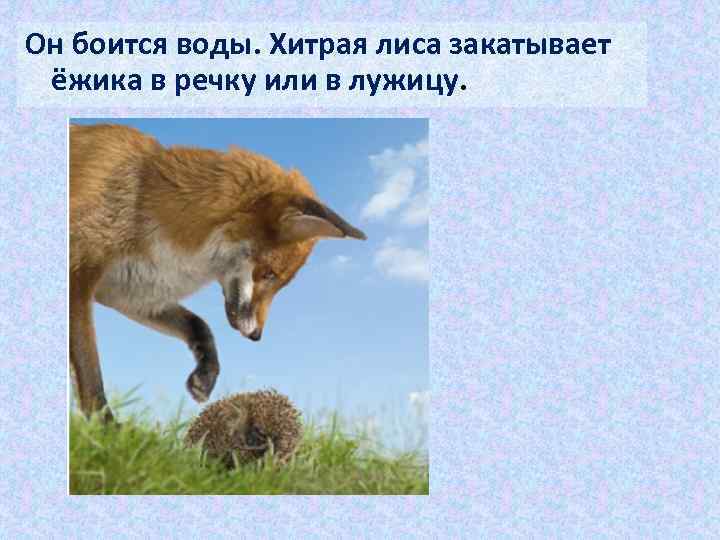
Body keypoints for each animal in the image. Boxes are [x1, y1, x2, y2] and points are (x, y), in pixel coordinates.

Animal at [70, 123, 366, 421]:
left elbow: (200, 325)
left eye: (277, 281)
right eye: (269, 274)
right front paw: (107, 428)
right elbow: (90, 374)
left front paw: (206, 376)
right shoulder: (79, 274)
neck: (140, 200)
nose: (257, 336)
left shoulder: (131, 293)